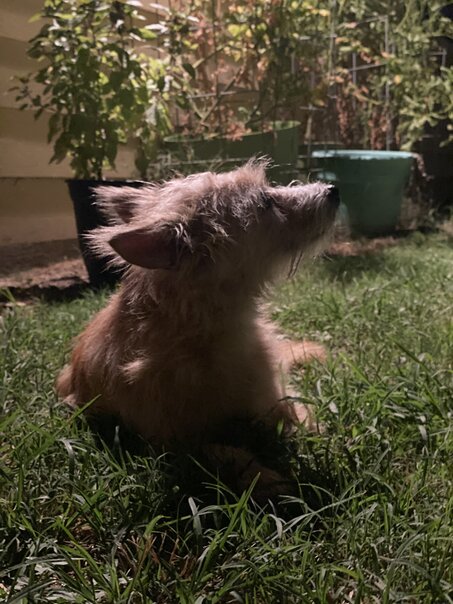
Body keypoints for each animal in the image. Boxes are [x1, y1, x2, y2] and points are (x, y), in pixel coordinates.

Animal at [57, 161, 339, 495]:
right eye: (266, 201)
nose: (333, 190)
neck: (205, 335)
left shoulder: (270, 394)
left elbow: (294, 413)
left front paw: (317, 431)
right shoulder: (172, 442)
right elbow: (222, 452)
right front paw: (268, 478)